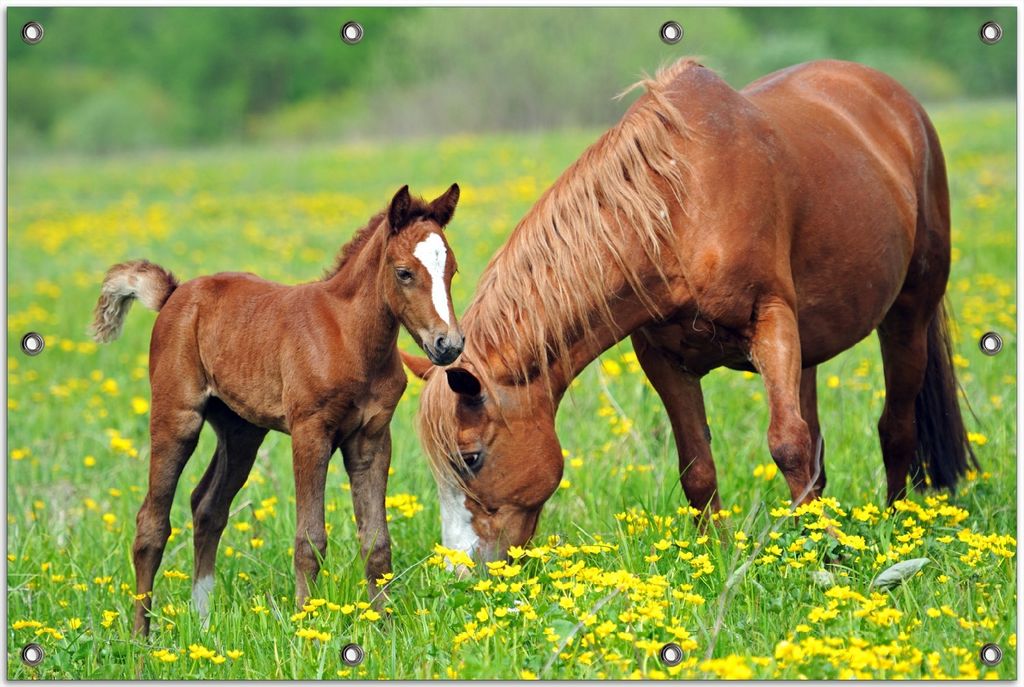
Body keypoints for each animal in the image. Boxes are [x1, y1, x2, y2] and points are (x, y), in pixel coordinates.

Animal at [90, 184, 464, 635]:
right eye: (404, 272)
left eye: (452, 271)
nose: (448, 344)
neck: (349, 337)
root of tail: (175, 294)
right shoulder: (310, 432)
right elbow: (310, 539)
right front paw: (307, 624)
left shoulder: (372, 438)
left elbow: (377, 540)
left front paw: (384, 627)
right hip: (177, 416)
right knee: (152, 522)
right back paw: (140, 637)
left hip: (241, 432)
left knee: (208, 507)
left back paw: (203, 621)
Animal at [405, 59, 976, 565]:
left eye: (471, 458)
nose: (461, 569)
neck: (682, 208)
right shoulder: (664, 358)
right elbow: (698, 467)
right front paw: (715, 556)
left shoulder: (771, 321)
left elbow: (787, 444)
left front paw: (826, 555)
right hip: (811, 346)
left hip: (908, 314)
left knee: (894, 427)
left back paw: (896, 524)